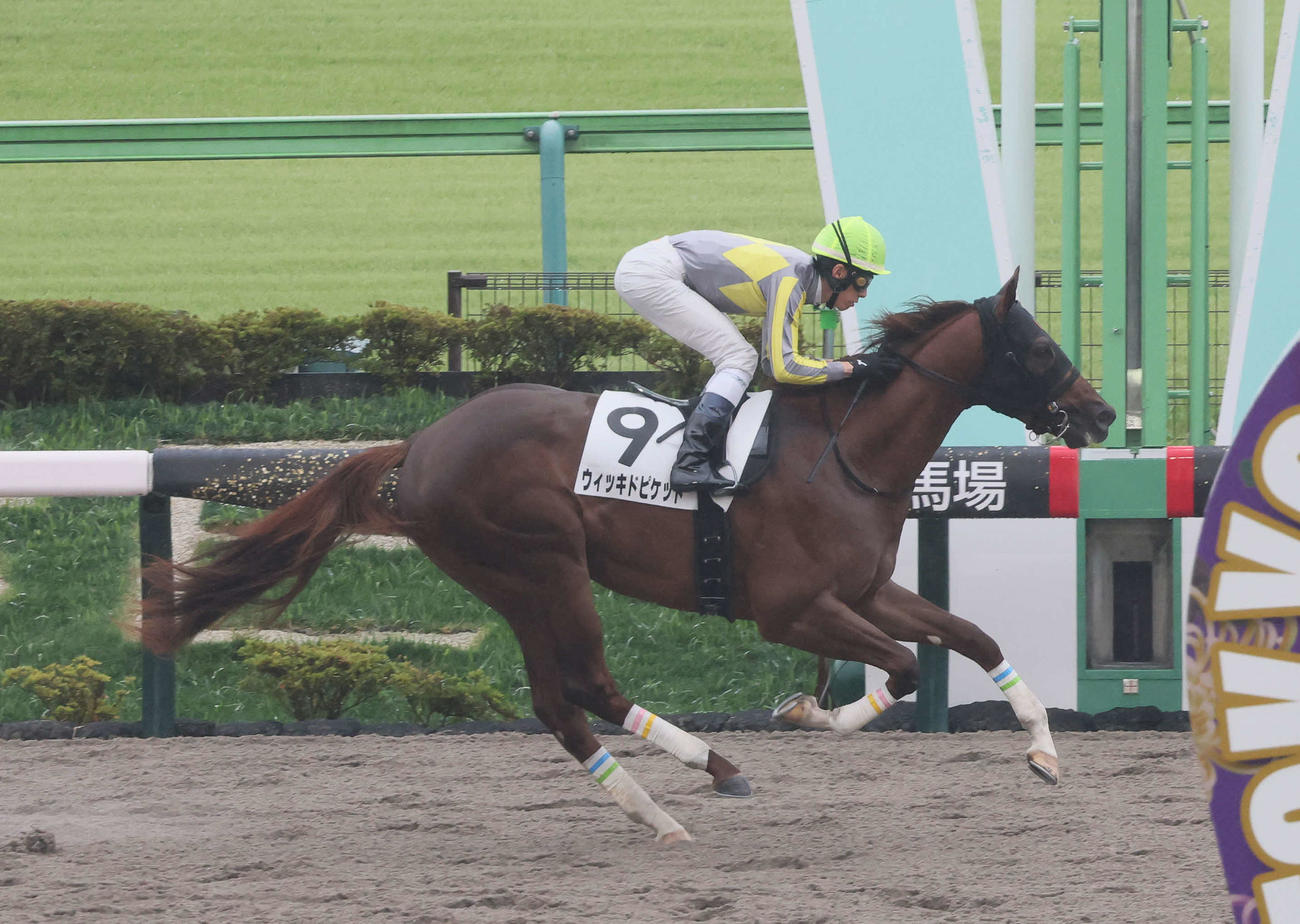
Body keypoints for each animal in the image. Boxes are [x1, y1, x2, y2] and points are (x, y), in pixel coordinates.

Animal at [141, 268, 1115, 843]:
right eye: (1037, 347)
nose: (1101, 414)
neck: (845, 451)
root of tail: (418, 447)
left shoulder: (866, 589)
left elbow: (973, 637)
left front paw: (1043, 751)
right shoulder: (792, 607)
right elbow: (907, 668)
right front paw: (807, 710)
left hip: (515, 583)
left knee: (557, 703)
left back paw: (658, 806)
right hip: (544, 566)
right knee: (586, 686)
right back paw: (708, 771)